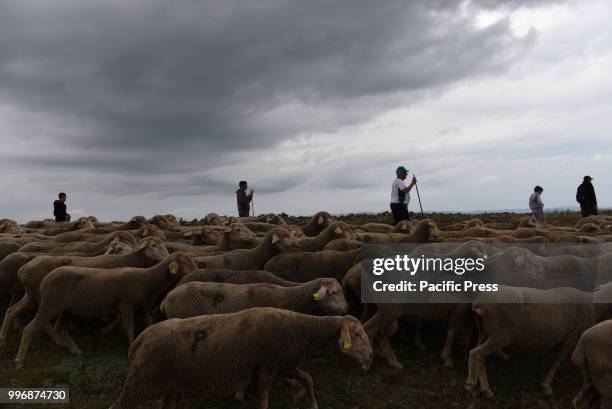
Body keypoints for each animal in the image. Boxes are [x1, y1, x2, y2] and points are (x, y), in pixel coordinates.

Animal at [0, 236, 170, 348]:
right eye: (153, 245)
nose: (167, 256)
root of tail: (24, 269)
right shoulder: (118, 295)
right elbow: (119, 316)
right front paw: (108, 329)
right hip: (44, 298)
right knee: (43, 322)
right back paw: (61, 341)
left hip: (31, 295)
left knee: (11, 311)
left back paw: (3, 339)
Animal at [13, 250, 197, 368]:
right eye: (184, 263)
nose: (197, 271)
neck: (148, 279)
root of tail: (45, 280)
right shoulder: (126, 305)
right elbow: (129, 328)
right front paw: (130, 349)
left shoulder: (143, 307)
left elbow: (148, 323)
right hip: (50, 305)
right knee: (30, 329)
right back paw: (20, 361)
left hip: (67, 310)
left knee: (60, 329)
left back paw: (75, 350)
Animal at [108, 306, 372, 408]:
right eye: (358, 334)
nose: (370, 358)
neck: (302, 329)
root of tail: (140, 339)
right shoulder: (266, 370)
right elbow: (264, 400)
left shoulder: (285, 366)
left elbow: (308, 378)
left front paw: (313, 404)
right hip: (141, 383)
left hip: (171, 387)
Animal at [464, 282, 612, 396]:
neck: (595, 306)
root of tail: (479, 303)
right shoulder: (572, 336)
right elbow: (558, 359)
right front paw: (546, 386)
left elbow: (557, 358)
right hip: (499, 336)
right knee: (475, 353)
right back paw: (471, 383)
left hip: (484, 332)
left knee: (479, 356)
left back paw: (485, 389)